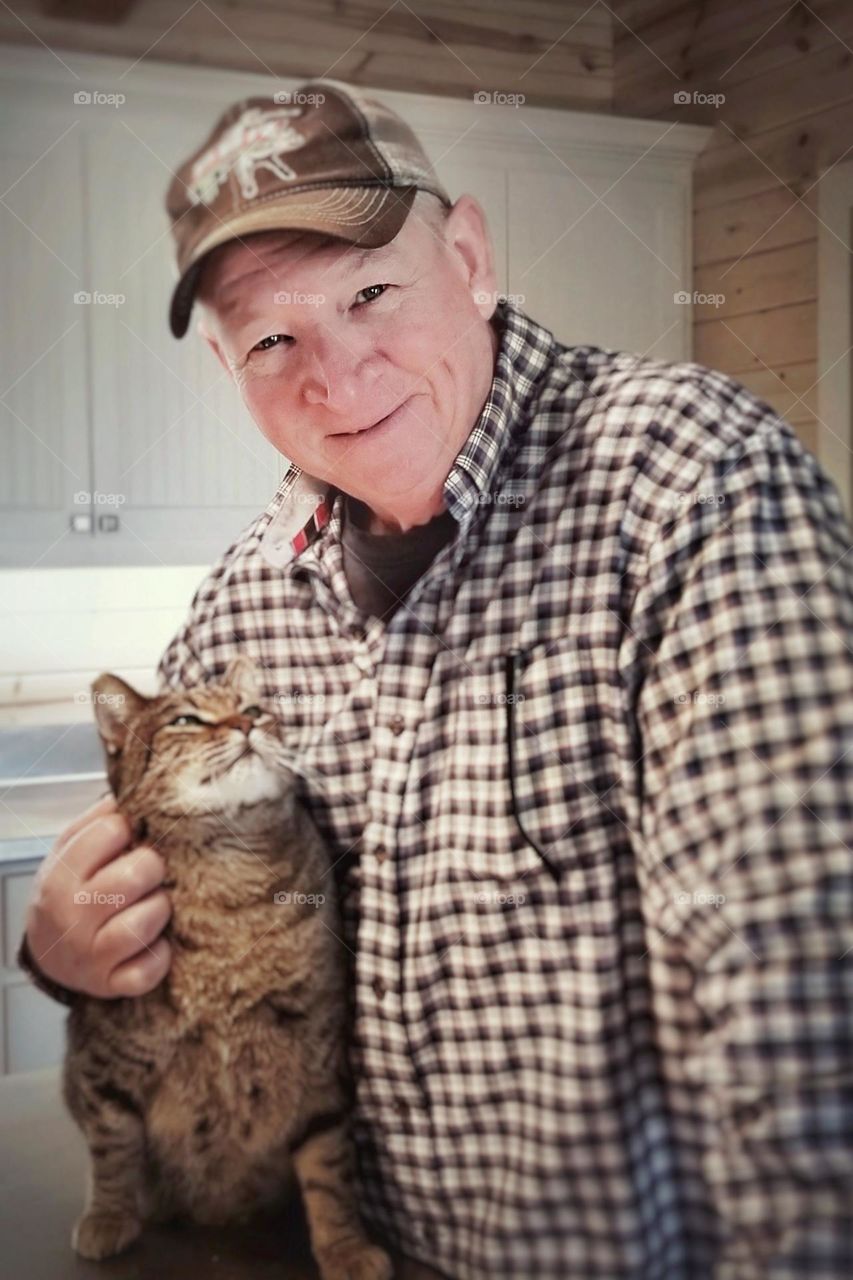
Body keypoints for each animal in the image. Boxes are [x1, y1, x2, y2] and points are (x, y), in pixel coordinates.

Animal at [64, 655, 391, 1280]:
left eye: (255, 708)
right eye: (186, 720)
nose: (244, 724)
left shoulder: (319, 1058)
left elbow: (329, 1168)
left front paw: (344, 1246)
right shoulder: (106, 1064)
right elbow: (112, 1147)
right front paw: (109, 1217)